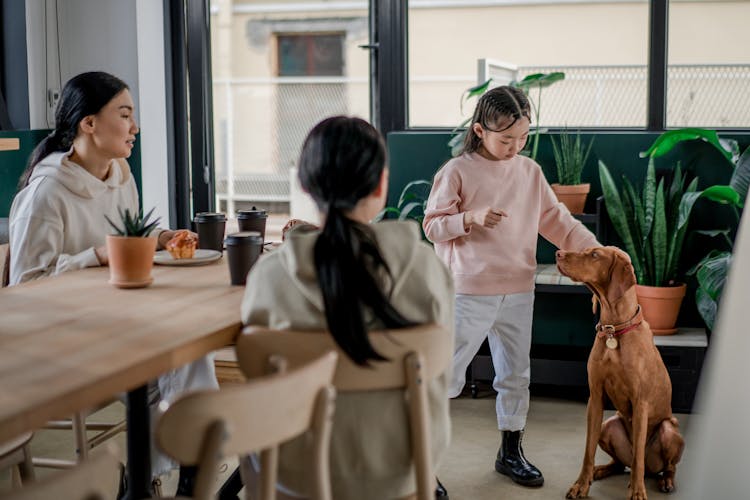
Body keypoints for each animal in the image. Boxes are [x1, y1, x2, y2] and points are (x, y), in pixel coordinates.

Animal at [560, 247, 688, 500]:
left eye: (595, 255)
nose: (558, 253)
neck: (614, 329)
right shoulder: (595, 398)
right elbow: (588, 451)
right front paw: (581, 484)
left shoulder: (641, 404)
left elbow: (638, 457)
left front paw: (638, 492)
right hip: (608, 425)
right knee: (619, 463)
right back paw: (600, 471)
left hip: (669, 430)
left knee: (663, 466)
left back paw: (666, 481)